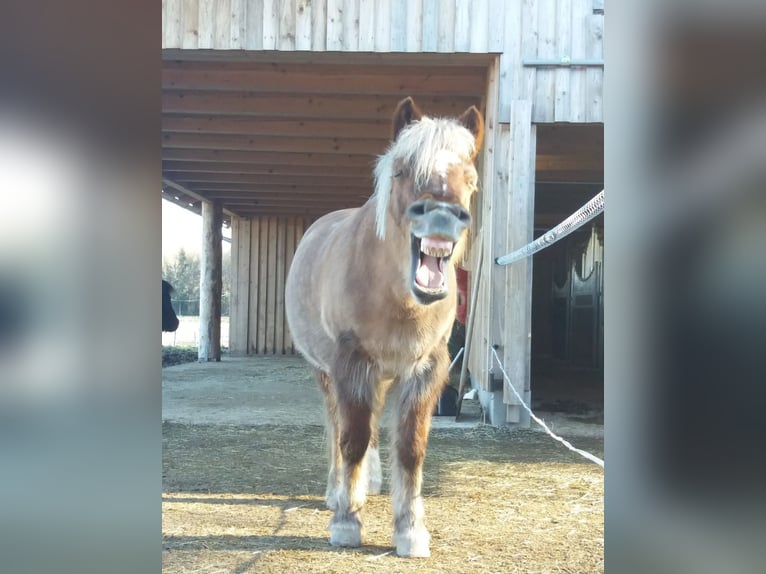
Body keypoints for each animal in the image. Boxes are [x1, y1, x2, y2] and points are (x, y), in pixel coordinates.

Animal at [284, 98, 488, 560]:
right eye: (402, 171)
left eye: (471, 180)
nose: (443, 216)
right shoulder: (350, 362)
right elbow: (353, 439)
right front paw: (346, 522)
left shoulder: (425, 368)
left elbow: (410, 448)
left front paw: (410, 531)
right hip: (327, 372)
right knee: (338, 426)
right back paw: (338, 491)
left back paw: (367, 485)